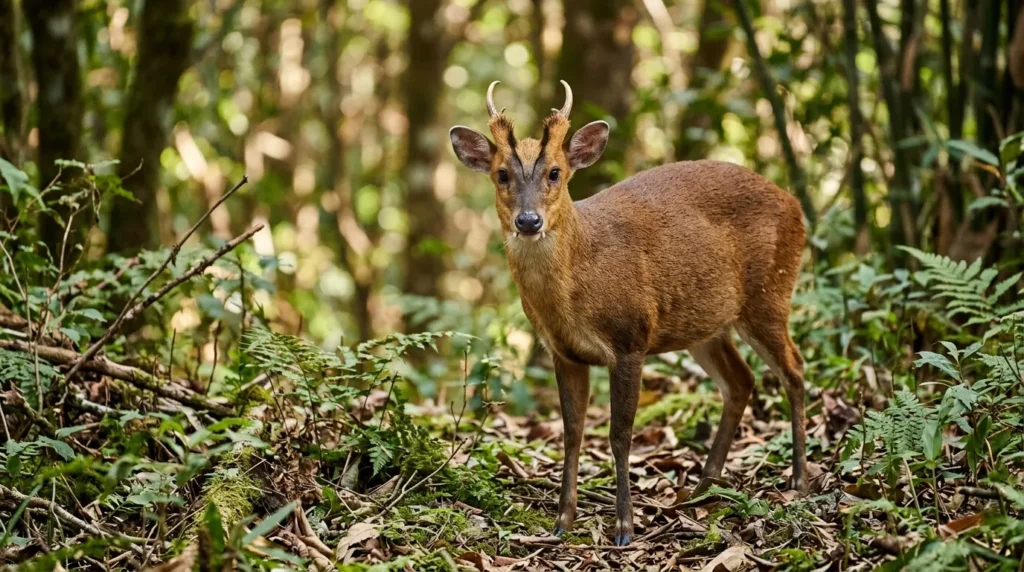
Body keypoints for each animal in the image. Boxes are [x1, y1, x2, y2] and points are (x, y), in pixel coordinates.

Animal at [449, 80, 808, 546]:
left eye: (555, 173)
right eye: (502, 174)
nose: (528, 221)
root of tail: (796, 205)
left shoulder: (629, 339)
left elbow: (620, 434)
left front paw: (624, 526)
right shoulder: (563, 352)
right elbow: (572, 433)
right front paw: (563, 521)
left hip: (770, 294)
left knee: (794, 369)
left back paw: (799, 479)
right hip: (706, 325)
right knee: (741, 381)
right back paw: (702, 489)